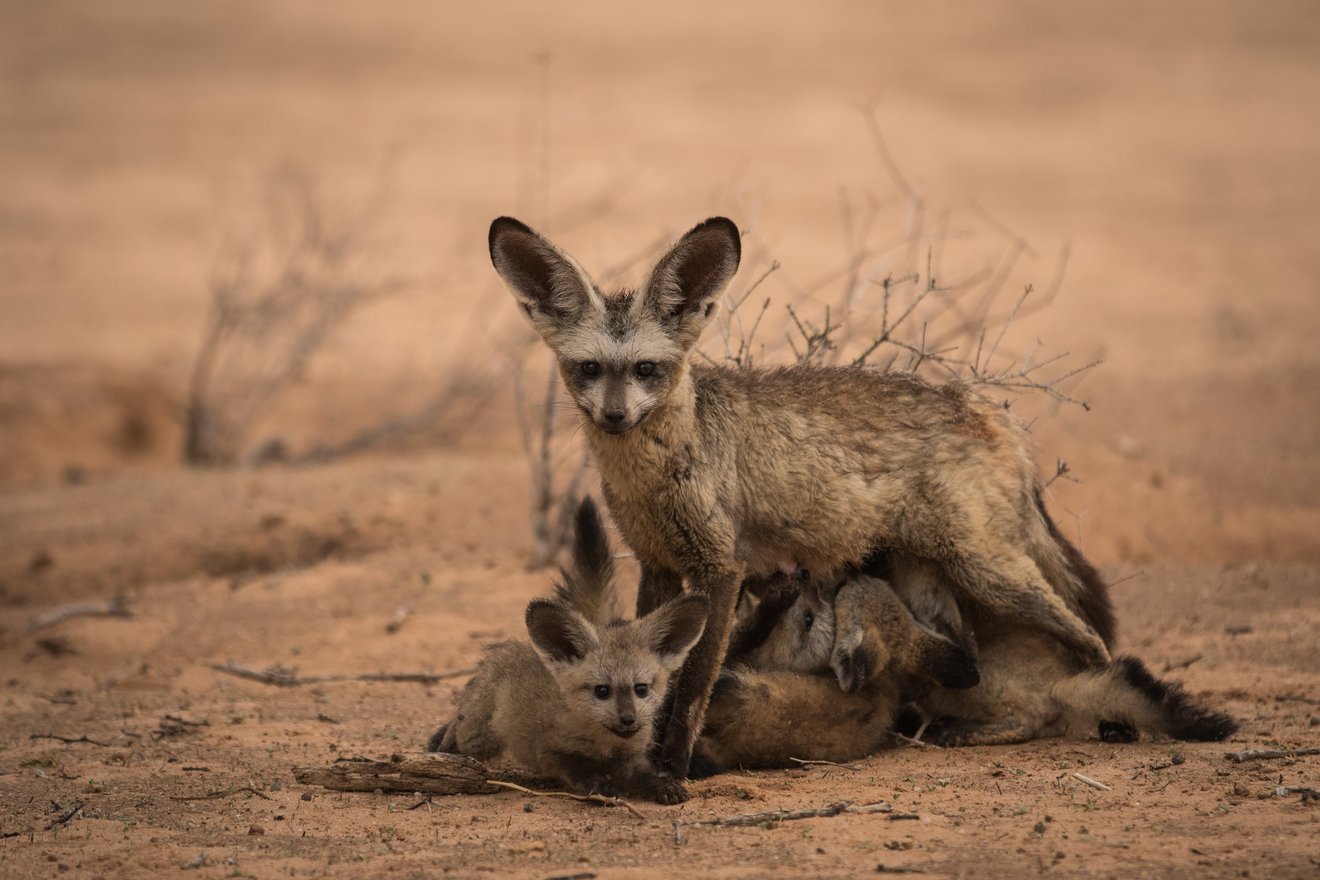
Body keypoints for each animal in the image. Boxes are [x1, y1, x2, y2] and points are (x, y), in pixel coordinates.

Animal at [427, 498, 707, 802]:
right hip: (477, 737)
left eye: (641, 689)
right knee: (457, 731)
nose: (628, 719)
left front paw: (664, 786)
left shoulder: (631, 756)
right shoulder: (551, 749)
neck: (603, 743)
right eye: (602, 690)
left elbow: (645, 775)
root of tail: (506, 650)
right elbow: (577, 768)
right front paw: (599, 785)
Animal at [493, 215, 1114, 796]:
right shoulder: (659, 562)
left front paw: (673, 765)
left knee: (1093, 642)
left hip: (989, 573)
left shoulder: (721, 567)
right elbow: (655, 657)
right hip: (926, 579)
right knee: (966, 655)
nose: (615, 417)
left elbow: (690, 683)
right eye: (590, 369)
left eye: (646, 368)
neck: (655, 477)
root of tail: (983, 404)